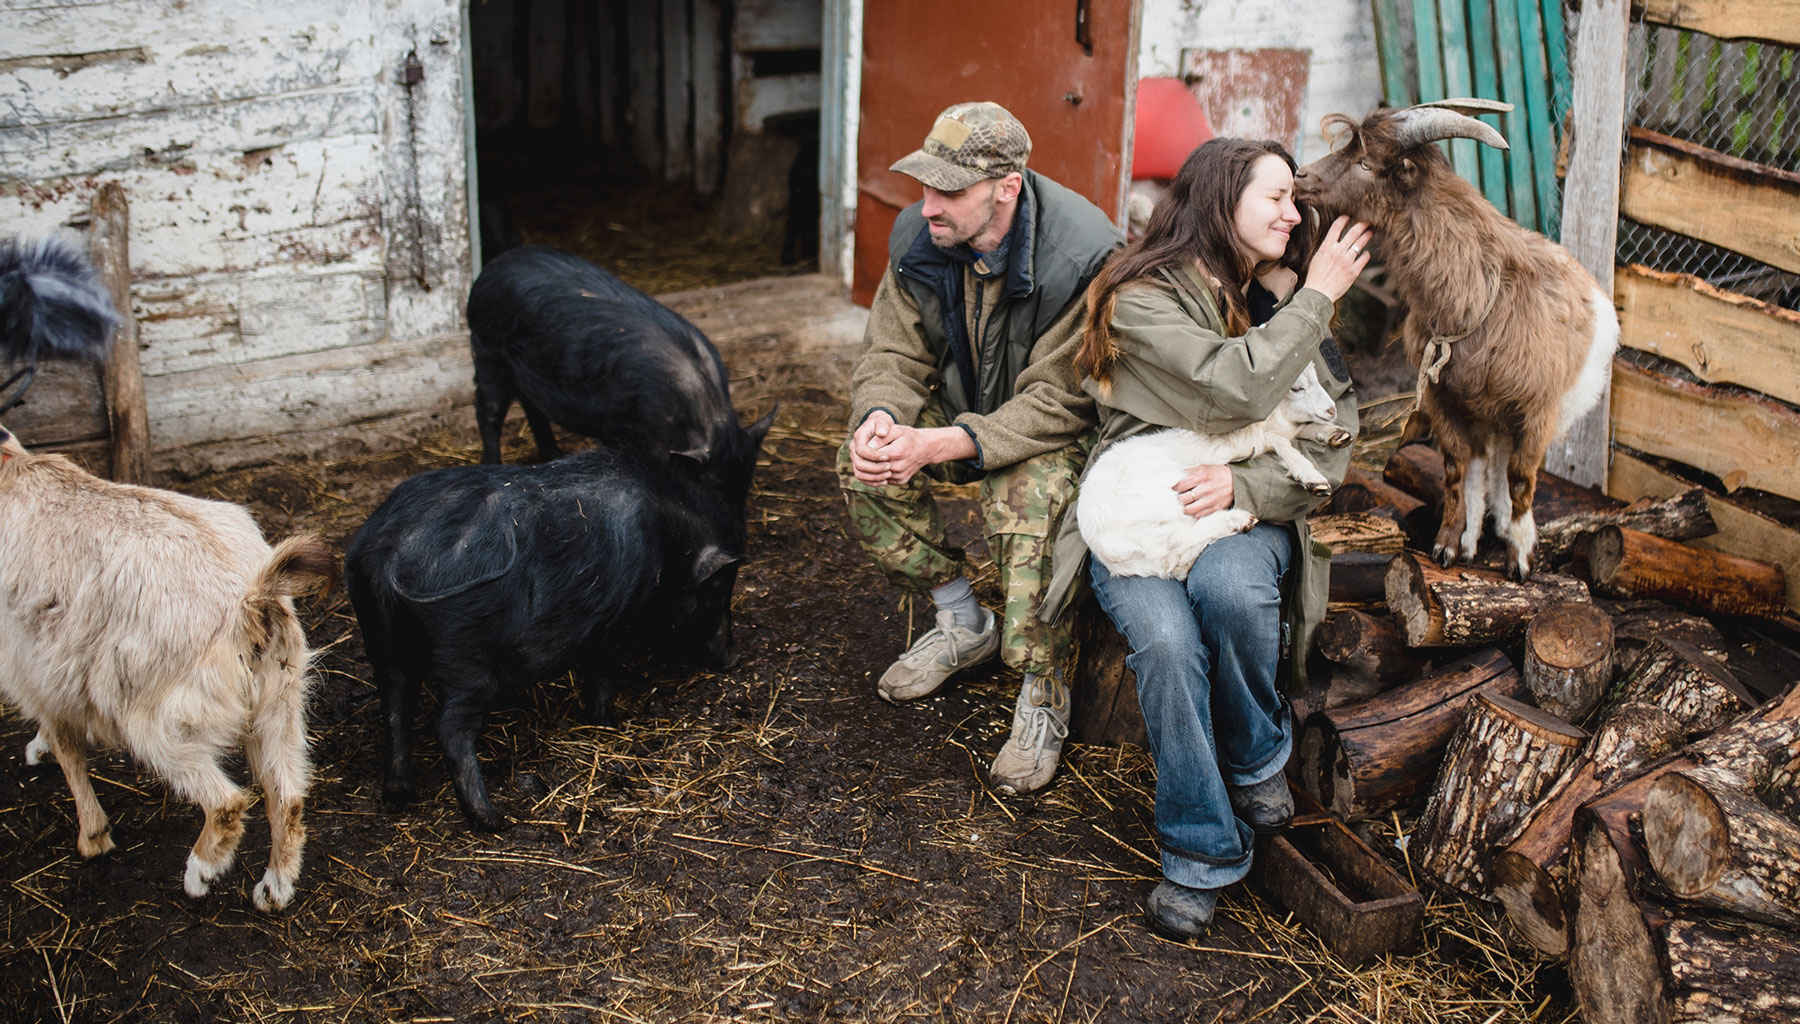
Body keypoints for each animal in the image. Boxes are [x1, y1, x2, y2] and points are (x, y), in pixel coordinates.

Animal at [340, 442, 741, 827]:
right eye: (718, 591)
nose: (730, 659)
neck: (669, 542)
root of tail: (389, 556)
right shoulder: (612, 622)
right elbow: (601, 673)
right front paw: (610, 722)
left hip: (380, 635)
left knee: (394, 703)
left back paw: (400, 793)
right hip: (465, 655)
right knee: (449, 726)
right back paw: (494, 819)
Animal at [464, 244, 774, 507]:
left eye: (745, 484)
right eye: (708, 486)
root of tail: (492, 267)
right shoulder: (620, 427)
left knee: (533, 407)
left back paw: (555, 454)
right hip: (486, 351)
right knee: (487, 411)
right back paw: (494, 462)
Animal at [1296, 99, 1620, 579]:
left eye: (1366, 163)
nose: (1301, 177)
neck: (1477, 297)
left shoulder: (1537, 411)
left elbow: (1522, 479)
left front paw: (1520, 558)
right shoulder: (1442, 398)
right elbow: (1455, 469)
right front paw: (1448, 545)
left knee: (1505, 466)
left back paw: (1505, 528)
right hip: (1483, 411)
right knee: (1484, 462)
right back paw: (1473, 537)